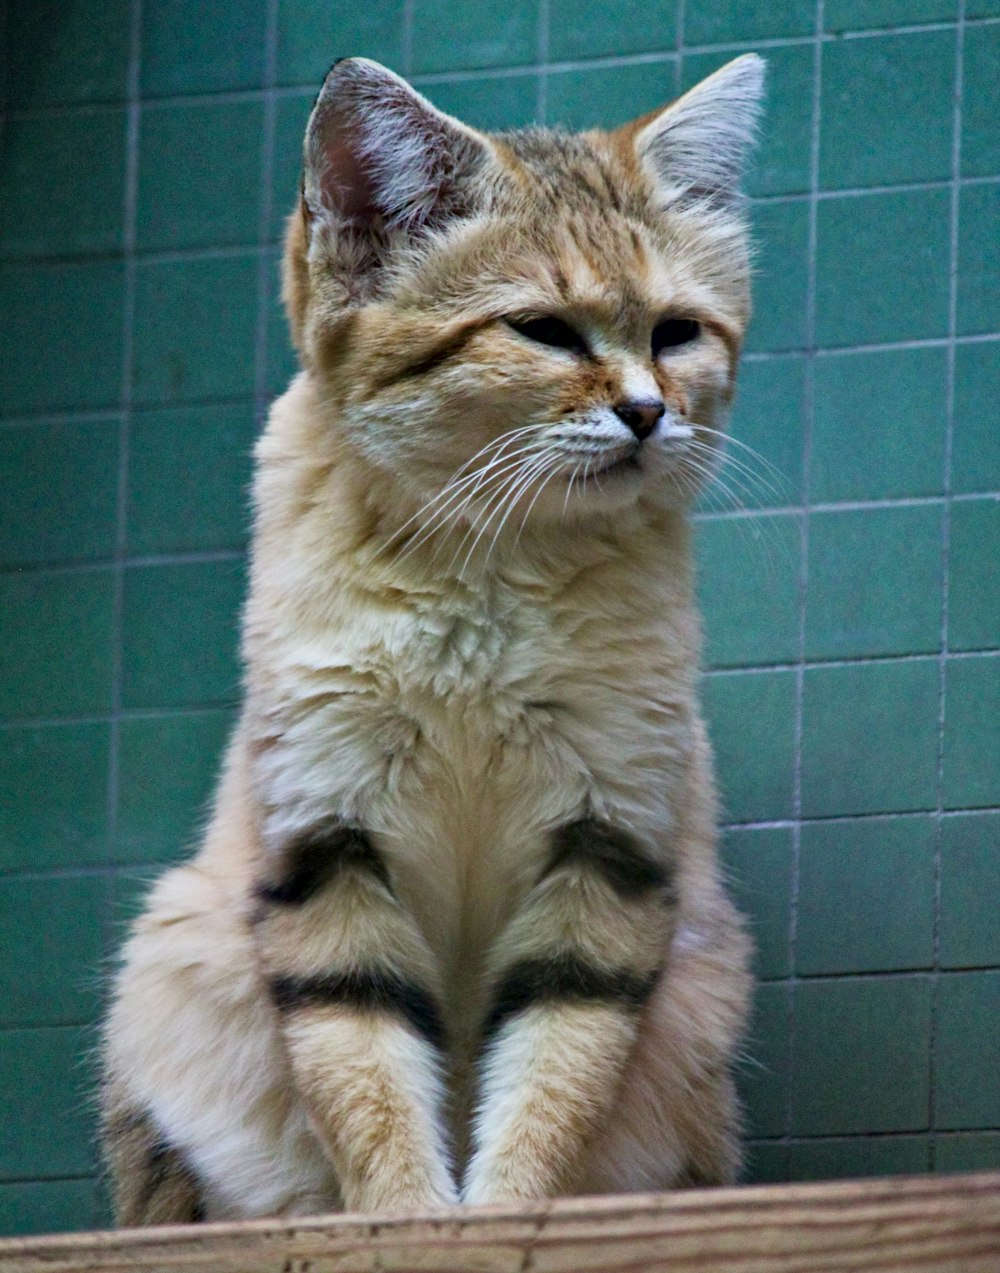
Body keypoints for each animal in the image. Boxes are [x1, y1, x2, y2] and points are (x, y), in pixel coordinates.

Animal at [101, 52, 763, 1222]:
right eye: (544, 330)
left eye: (677, 332)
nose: (650, 411)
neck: (488, 570)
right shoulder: (325, 831)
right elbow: (360, 1063)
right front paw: (406, 1216)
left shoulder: (610, 837)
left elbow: (557, 1063)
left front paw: (501, 1215)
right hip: (170, 960)